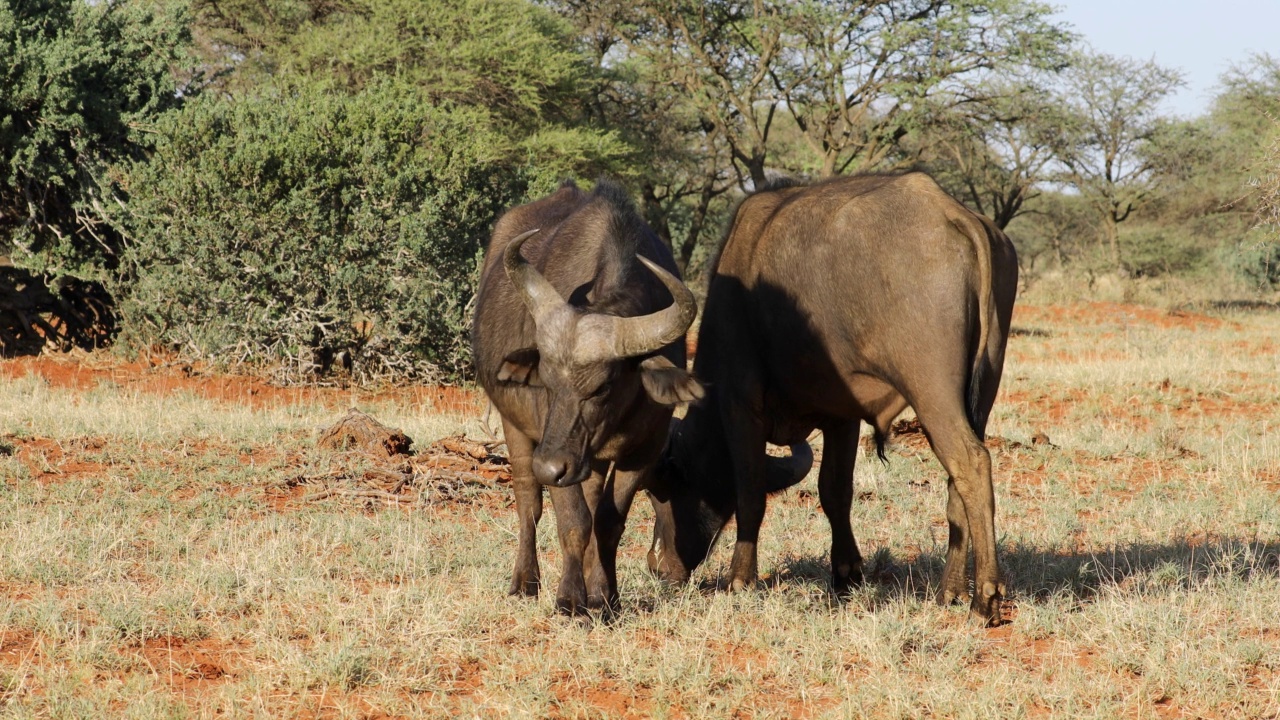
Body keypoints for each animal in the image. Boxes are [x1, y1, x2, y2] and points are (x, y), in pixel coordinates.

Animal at [476, 179, 706, 609]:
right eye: (547, 382)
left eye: (601, 387)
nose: (549, 466)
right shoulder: (552, 447)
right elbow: (575, 520)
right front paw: (571, 599)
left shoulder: (642, 451)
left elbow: (609, 521)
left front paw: (603, 597)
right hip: (517, 429)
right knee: (528, 502)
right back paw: (525, 582)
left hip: (588, 459)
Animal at [650, 169, 1018, 622]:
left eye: (663, 485)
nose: (657, 566)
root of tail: (952, 212)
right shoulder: (843, 417)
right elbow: (835, 491)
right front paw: (845, 571)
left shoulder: (740, 406)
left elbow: (750, 492)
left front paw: (740, 578)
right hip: (980, 393)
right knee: (957, 482)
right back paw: (949, 589)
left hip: (932, 392)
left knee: (971, 464)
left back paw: (984, 599)